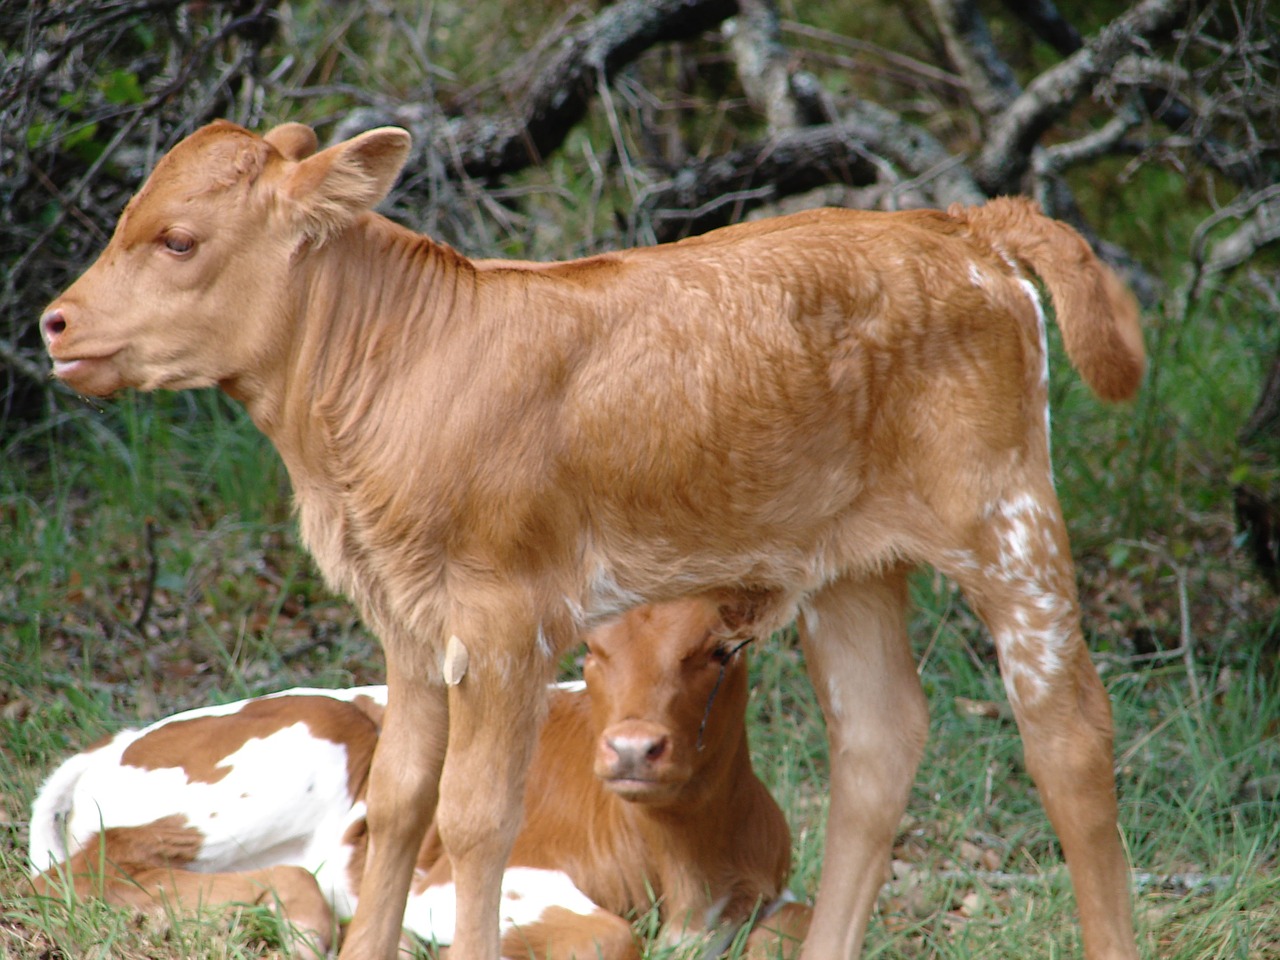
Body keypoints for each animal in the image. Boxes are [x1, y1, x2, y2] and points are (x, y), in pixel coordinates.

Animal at [27, 601, 808, 960]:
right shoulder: (471, 879)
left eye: (725, 649)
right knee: (78, 872)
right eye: (593, 650)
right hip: (323, 736)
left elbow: (787, 928)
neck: (685, 865)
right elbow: (610, 937)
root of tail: (114, 742)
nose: (634, 749)